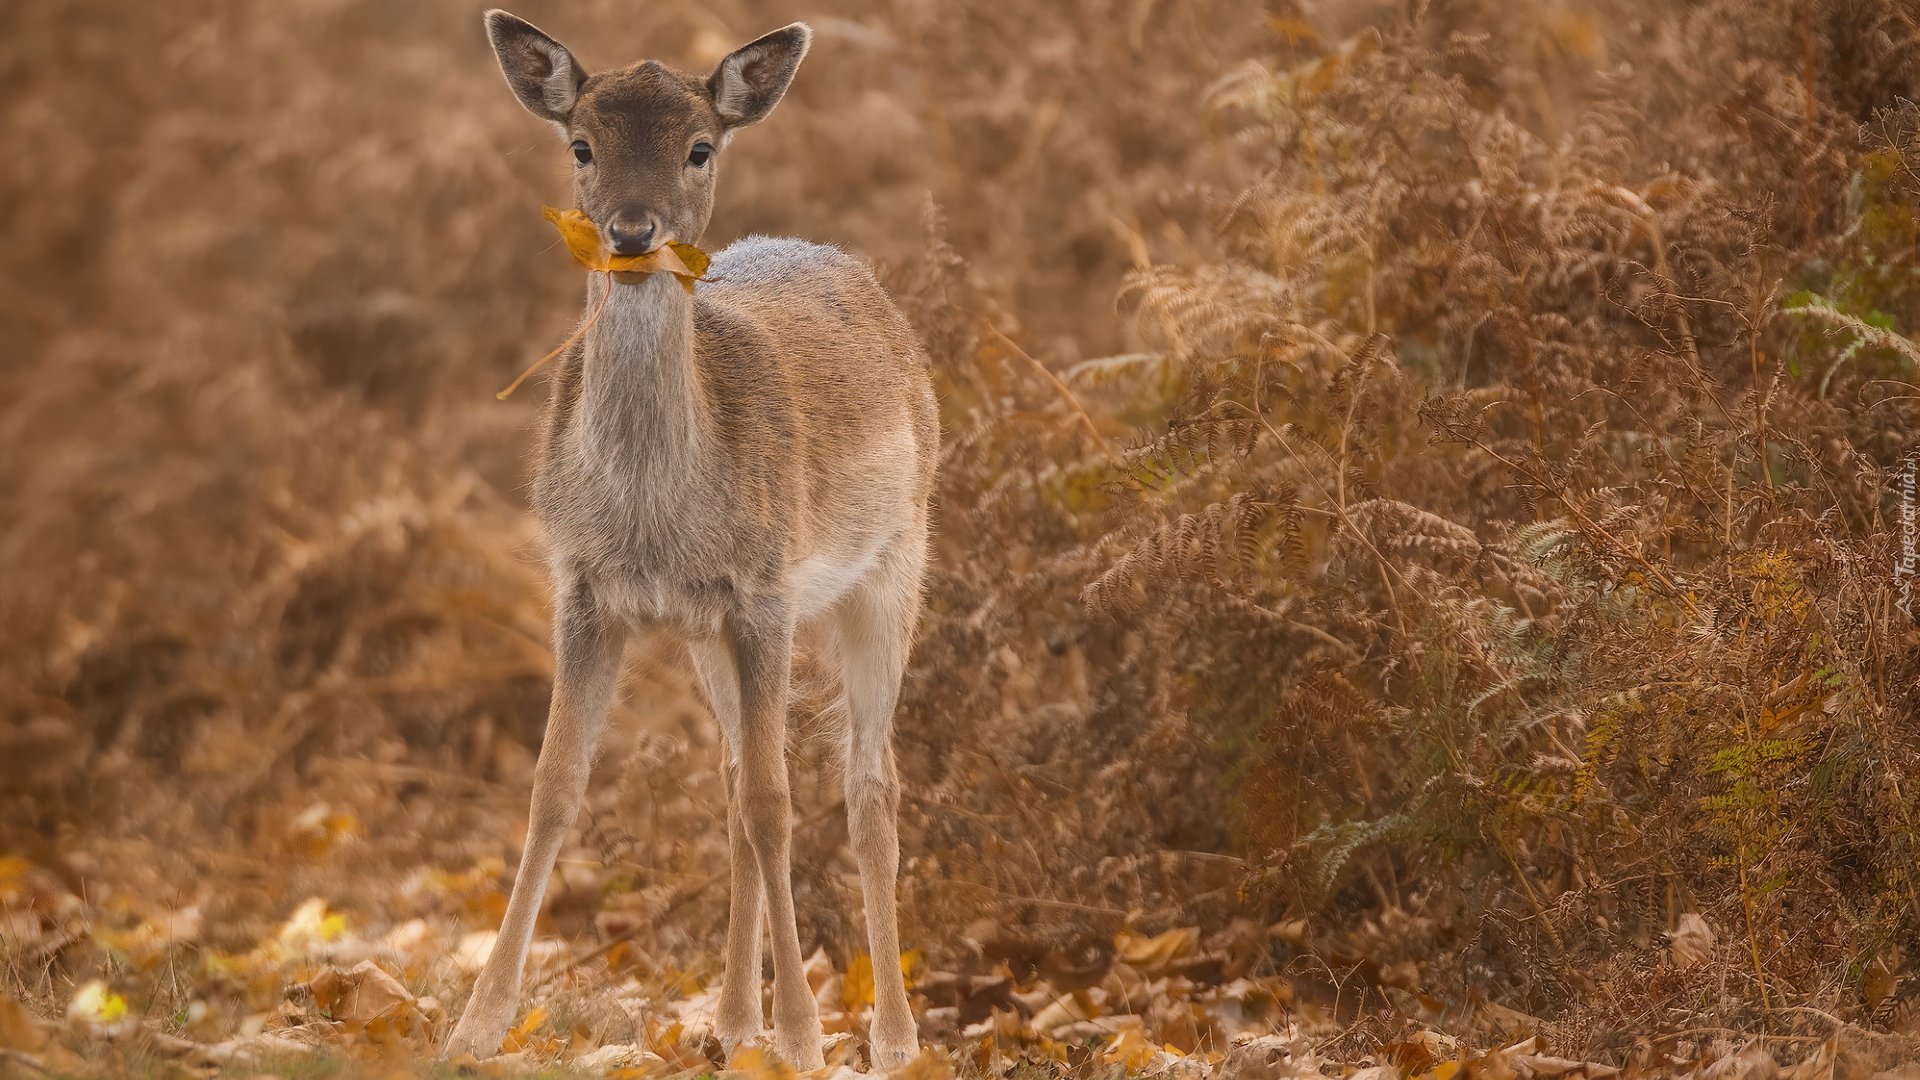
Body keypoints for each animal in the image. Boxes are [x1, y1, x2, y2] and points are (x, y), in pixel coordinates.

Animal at [441, 12, 936, 1060]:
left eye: (700, 147)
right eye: (581, 144)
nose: (633, 230)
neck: (652, 518)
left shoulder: (765, 590)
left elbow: (779, 804)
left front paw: (805, 1037)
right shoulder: (583, 587)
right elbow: (555, 785)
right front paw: (476, 1023)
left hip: (896, 562)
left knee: (868, 785)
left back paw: (890, 1036)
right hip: (711, 635)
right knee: (732, 777)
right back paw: (734, 1019)